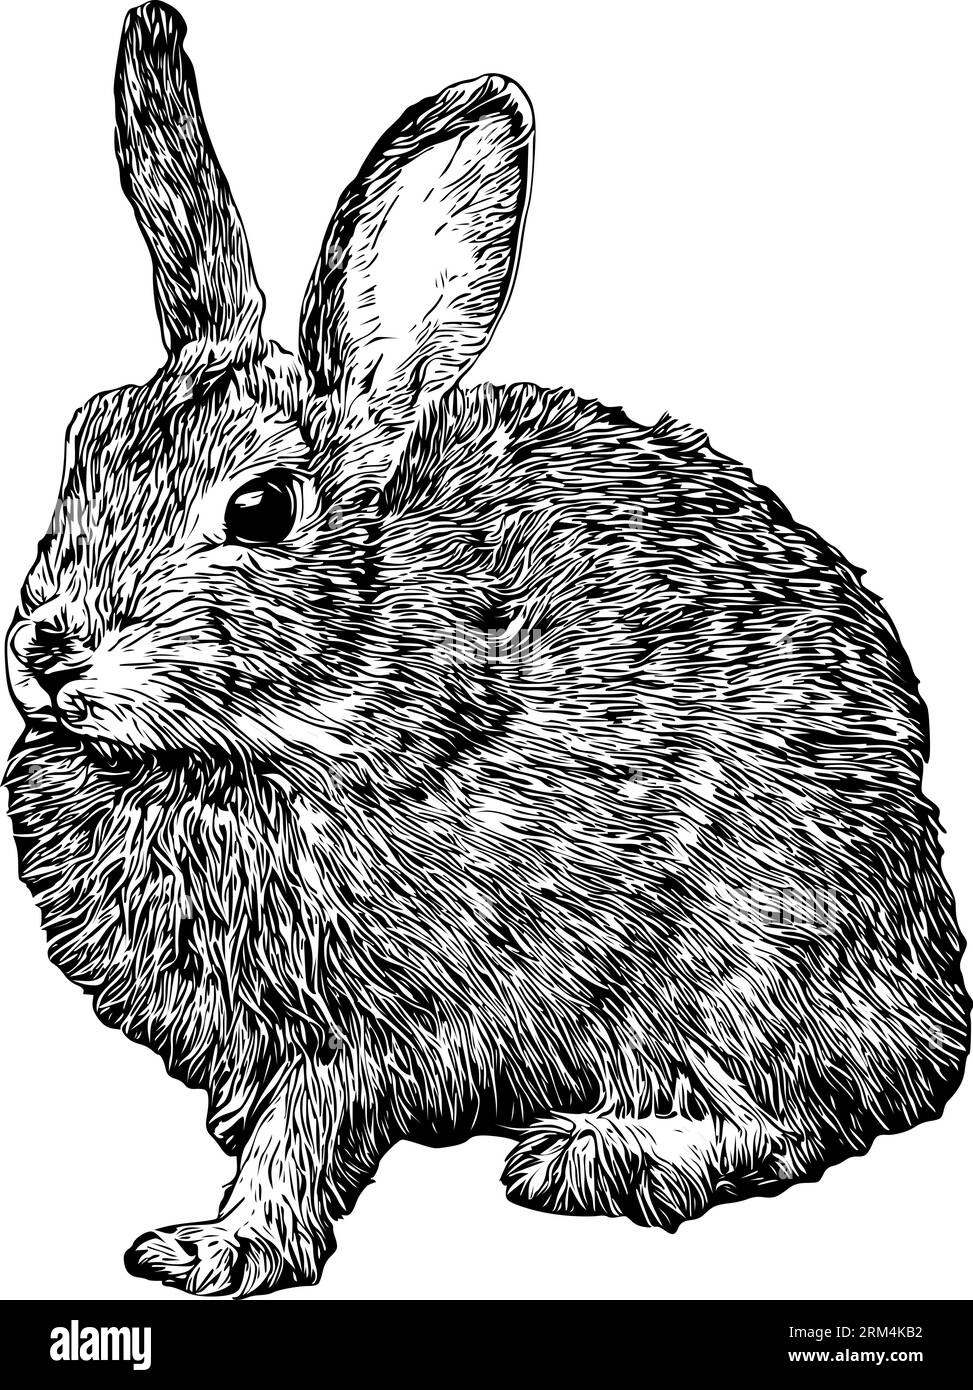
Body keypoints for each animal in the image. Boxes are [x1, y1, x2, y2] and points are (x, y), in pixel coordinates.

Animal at [5, 0, 969, 1299]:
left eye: (260, 509)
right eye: (81, 442)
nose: (49, 648)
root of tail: (936, 991)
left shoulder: (369, 1017)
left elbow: (305, 1128)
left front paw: (216, 1246)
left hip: (745, 952)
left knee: (794, 1115)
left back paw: (598, 1156)